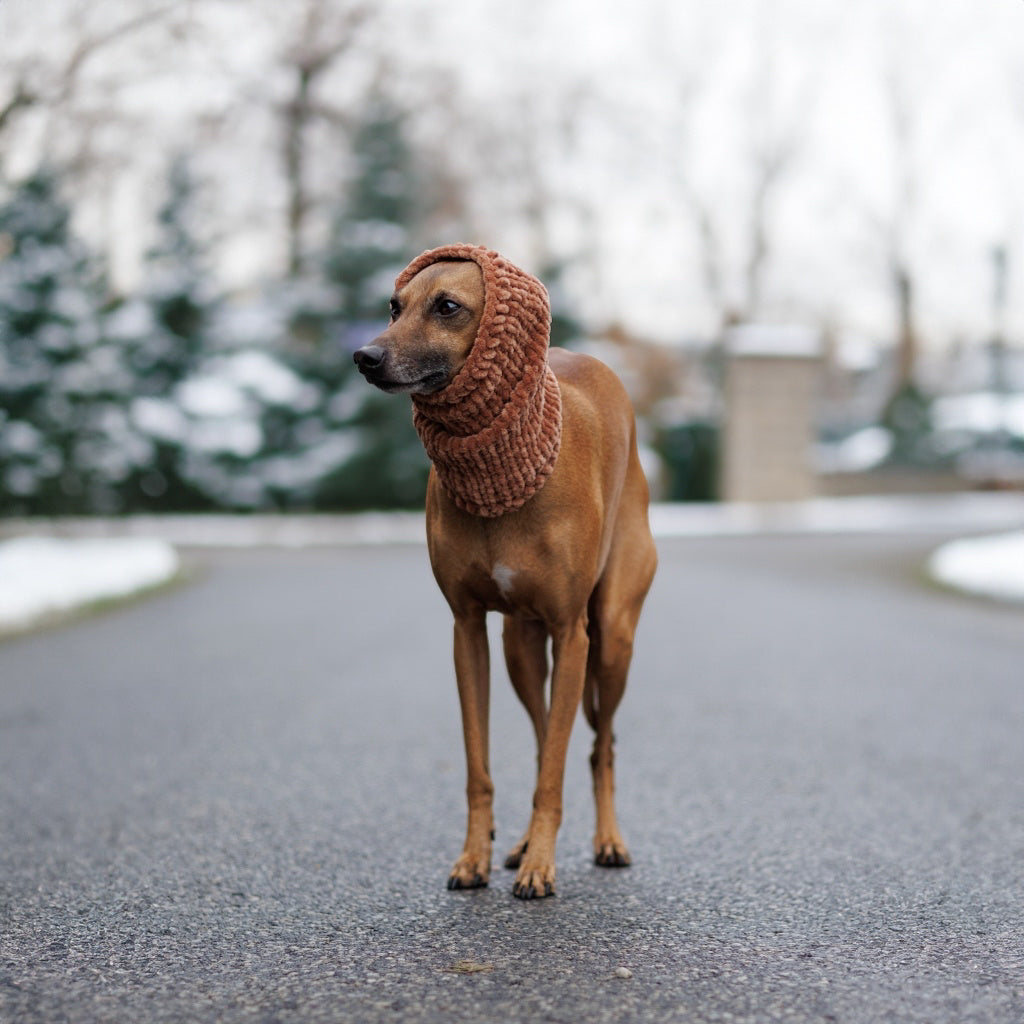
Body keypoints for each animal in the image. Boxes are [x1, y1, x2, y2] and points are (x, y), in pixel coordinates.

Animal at [352, 245, 655, 897]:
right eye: (394, 306)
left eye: (448, 306)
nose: (365, 356)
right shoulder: (467, 631)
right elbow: (482, 764)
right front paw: (478, 856)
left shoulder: (572, 633)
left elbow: (561, 767)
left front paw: (542, 866)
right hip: (522, 647)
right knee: (547, 738)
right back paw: (521, 844)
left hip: (610, 639)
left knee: (600, 745)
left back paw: (607, 841)